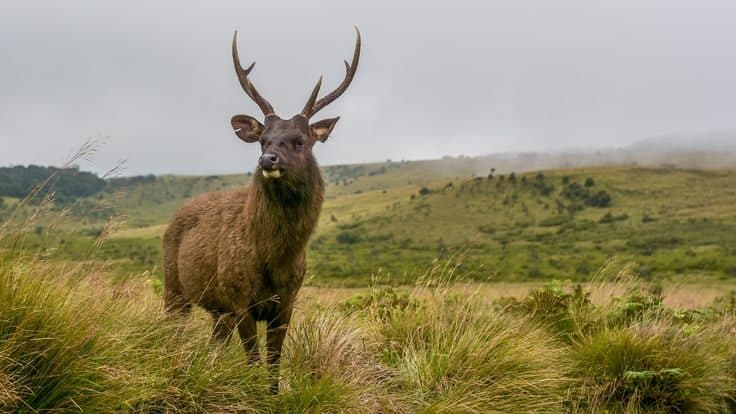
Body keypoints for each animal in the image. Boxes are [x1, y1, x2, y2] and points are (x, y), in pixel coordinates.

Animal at [162, 28, 360, 391]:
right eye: (262, 139)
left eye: (300, 140)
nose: (268, 160)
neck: (273, 258)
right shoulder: (239, 298)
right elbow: (254, 361)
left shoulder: (286, 302)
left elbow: (273, 365)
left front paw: (271, 395)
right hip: (174, 286)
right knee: (171, 332)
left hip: (218, 310)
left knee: (214, 345)